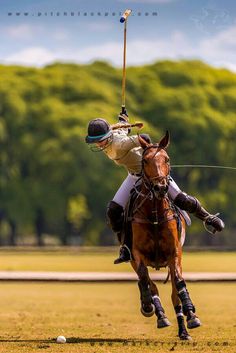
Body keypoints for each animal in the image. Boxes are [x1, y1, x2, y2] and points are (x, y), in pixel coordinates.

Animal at [129, 131, 201, 340]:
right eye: (145, 160)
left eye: (166, 159)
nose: (160, 188)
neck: (155, 214)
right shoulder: (136, 253)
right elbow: (145, 278)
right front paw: (147, 305)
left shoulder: (174, 253)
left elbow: (178, 283)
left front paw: (191, 314)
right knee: (148, 283)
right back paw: (158, 313)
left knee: (174, 292)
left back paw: (184, 328)